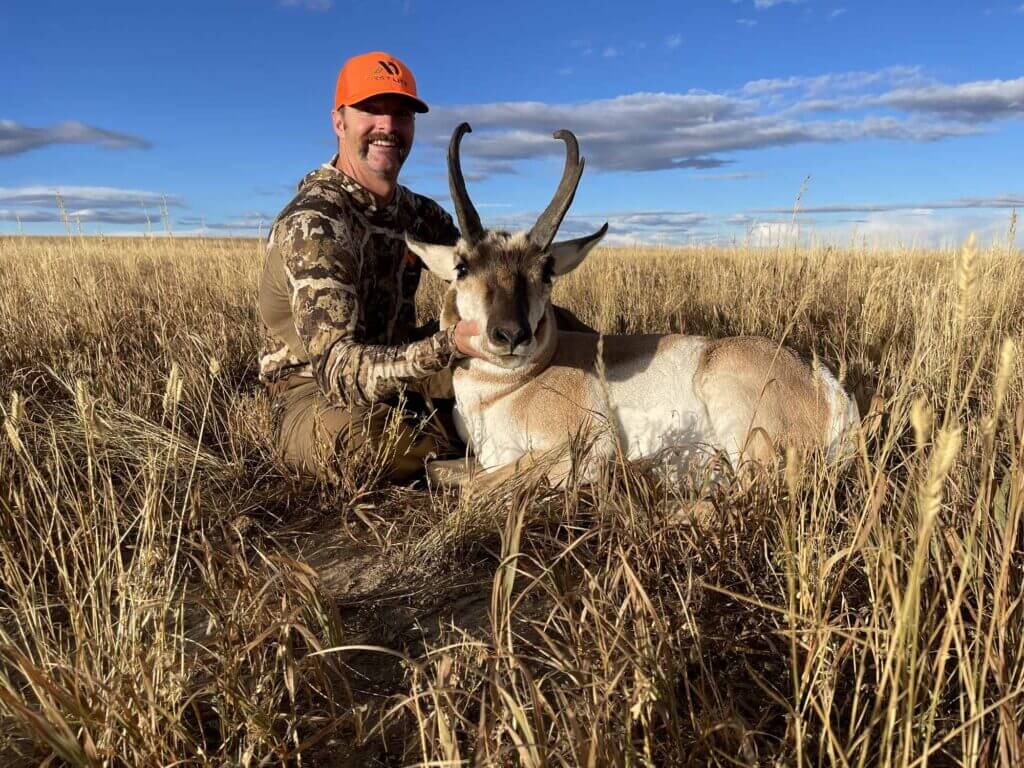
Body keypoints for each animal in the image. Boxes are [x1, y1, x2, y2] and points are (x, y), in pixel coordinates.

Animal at [408, 123, 859, 486]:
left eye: (547, 271)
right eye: (462, 266)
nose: (511, 335)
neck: (507, 389)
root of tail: (830, 388)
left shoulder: (579, 446)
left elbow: (475, 489)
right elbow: (437, 469)